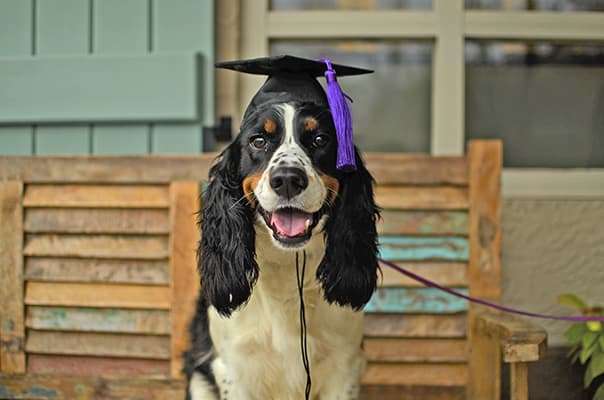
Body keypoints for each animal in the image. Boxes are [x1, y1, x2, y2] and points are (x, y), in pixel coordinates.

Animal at [186, 56, 380, 400]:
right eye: (258, 140)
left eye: (320, 140)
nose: (288, 179)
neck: (290, 267)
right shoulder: (234, 367)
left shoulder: (344, 366)